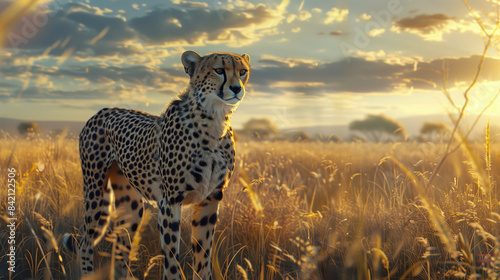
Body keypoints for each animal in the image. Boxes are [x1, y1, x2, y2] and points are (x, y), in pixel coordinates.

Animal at [73, 50, 249, 280]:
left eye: (243, 71)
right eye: (219, 70)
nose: (237, 88)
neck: (215, 120)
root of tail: (102, 111)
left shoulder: (211, 198)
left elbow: (203, 255)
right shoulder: (170, 201)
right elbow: (172, 258)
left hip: (131, 204)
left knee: (120, 249)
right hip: (95, 191)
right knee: (85, 244)